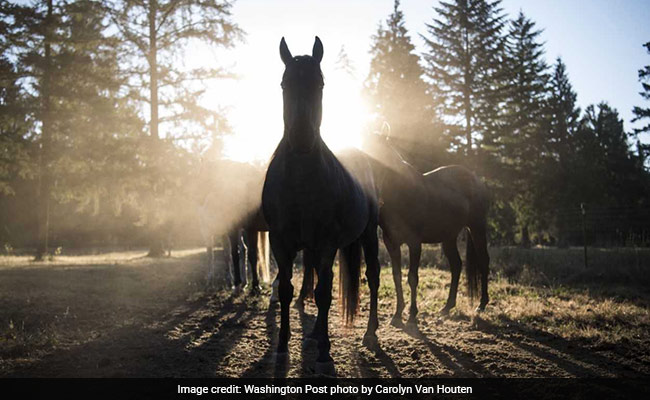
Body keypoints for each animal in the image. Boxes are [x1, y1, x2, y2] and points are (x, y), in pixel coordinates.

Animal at [195, 158, 270, 293]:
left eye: (202, 174)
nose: (197, 197)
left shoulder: (231, 231)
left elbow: (232, 254)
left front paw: (236, 283)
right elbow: (236, 255)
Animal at [262, 37, 381, 373]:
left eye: (320, 84)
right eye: (284, 84)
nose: (302, 138)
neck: (300, 182)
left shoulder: (326, 243)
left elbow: (324, 293)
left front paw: (325, 352)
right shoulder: (281, 242)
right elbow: (287, 290)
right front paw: (282, 347)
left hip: (369, 234)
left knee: (373, 277)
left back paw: (370, 333)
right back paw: (315, 332)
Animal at [362, 131, 490, 328]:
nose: (375, 193)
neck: (400, 194)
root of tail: (476, 179)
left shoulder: (415, 243)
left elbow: (412, 277)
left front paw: (412, 315)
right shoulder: (391, 242)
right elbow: (396, 276)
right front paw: (397, 314)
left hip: (477, 228)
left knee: (483, 261)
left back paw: (481, 305)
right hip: (449, 236)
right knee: (456, 265)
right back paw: (447, 307)